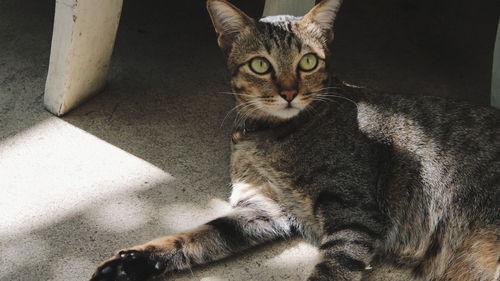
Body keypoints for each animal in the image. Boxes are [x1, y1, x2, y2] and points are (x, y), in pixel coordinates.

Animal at [91, 0, 500, 280]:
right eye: (260, 65)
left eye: (307, 62)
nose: (288, 92)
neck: (269, 136)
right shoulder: (264, 207)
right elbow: (199, 235)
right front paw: (135, 261)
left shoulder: (354, 216)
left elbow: (331, 270)